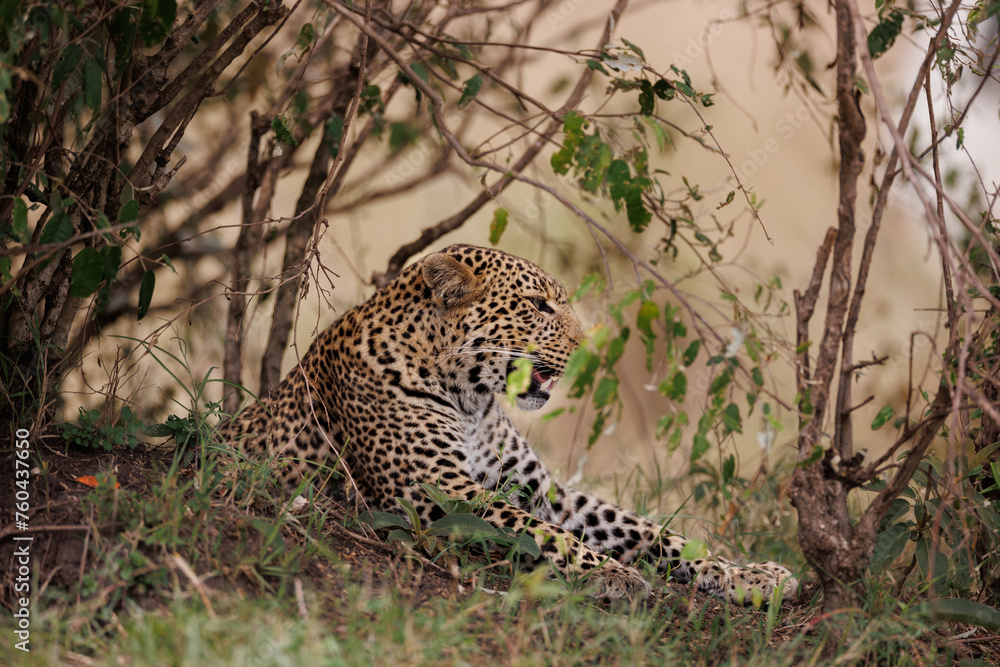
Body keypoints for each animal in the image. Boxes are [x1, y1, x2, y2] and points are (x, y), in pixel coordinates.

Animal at [221, 243, 798, 605]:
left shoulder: (545, 492)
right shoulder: (435, 491)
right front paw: (614, 574)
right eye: (538, 305)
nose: (589, 347)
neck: (471, 400)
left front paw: (744, 573)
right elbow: (542, 535)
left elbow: (647, 528)